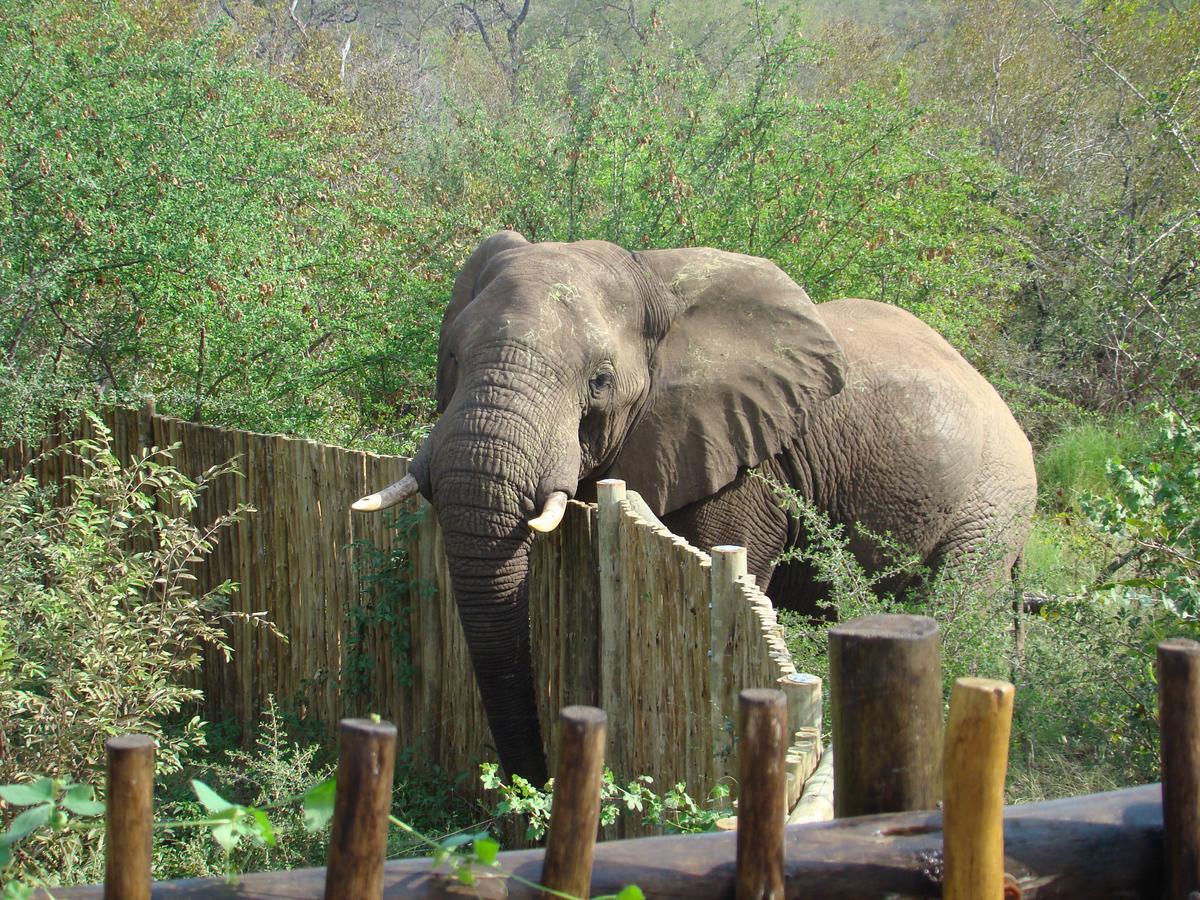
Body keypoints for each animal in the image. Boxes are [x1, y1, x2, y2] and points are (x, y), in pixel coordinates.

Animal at [350, 230, 1036, 782]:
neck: (650, 278)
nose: (532, 782)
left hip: (995, 499)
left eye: (600, 381)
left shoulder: (741, 463)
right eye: (452, 357)